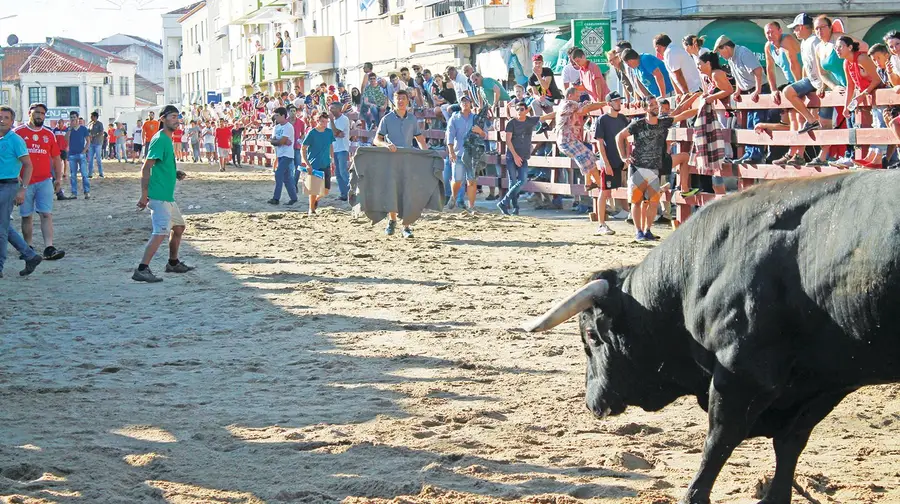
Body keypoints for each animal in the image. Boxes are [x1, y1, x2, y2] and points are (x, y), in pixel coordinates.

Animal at [524, 171, 900, 502]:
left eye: (591, 335)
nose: (592, 402)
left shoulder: (741, 376)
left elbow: (718, 443)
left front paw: (694, 495)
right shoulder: (822, 381)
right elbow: (789, 443)